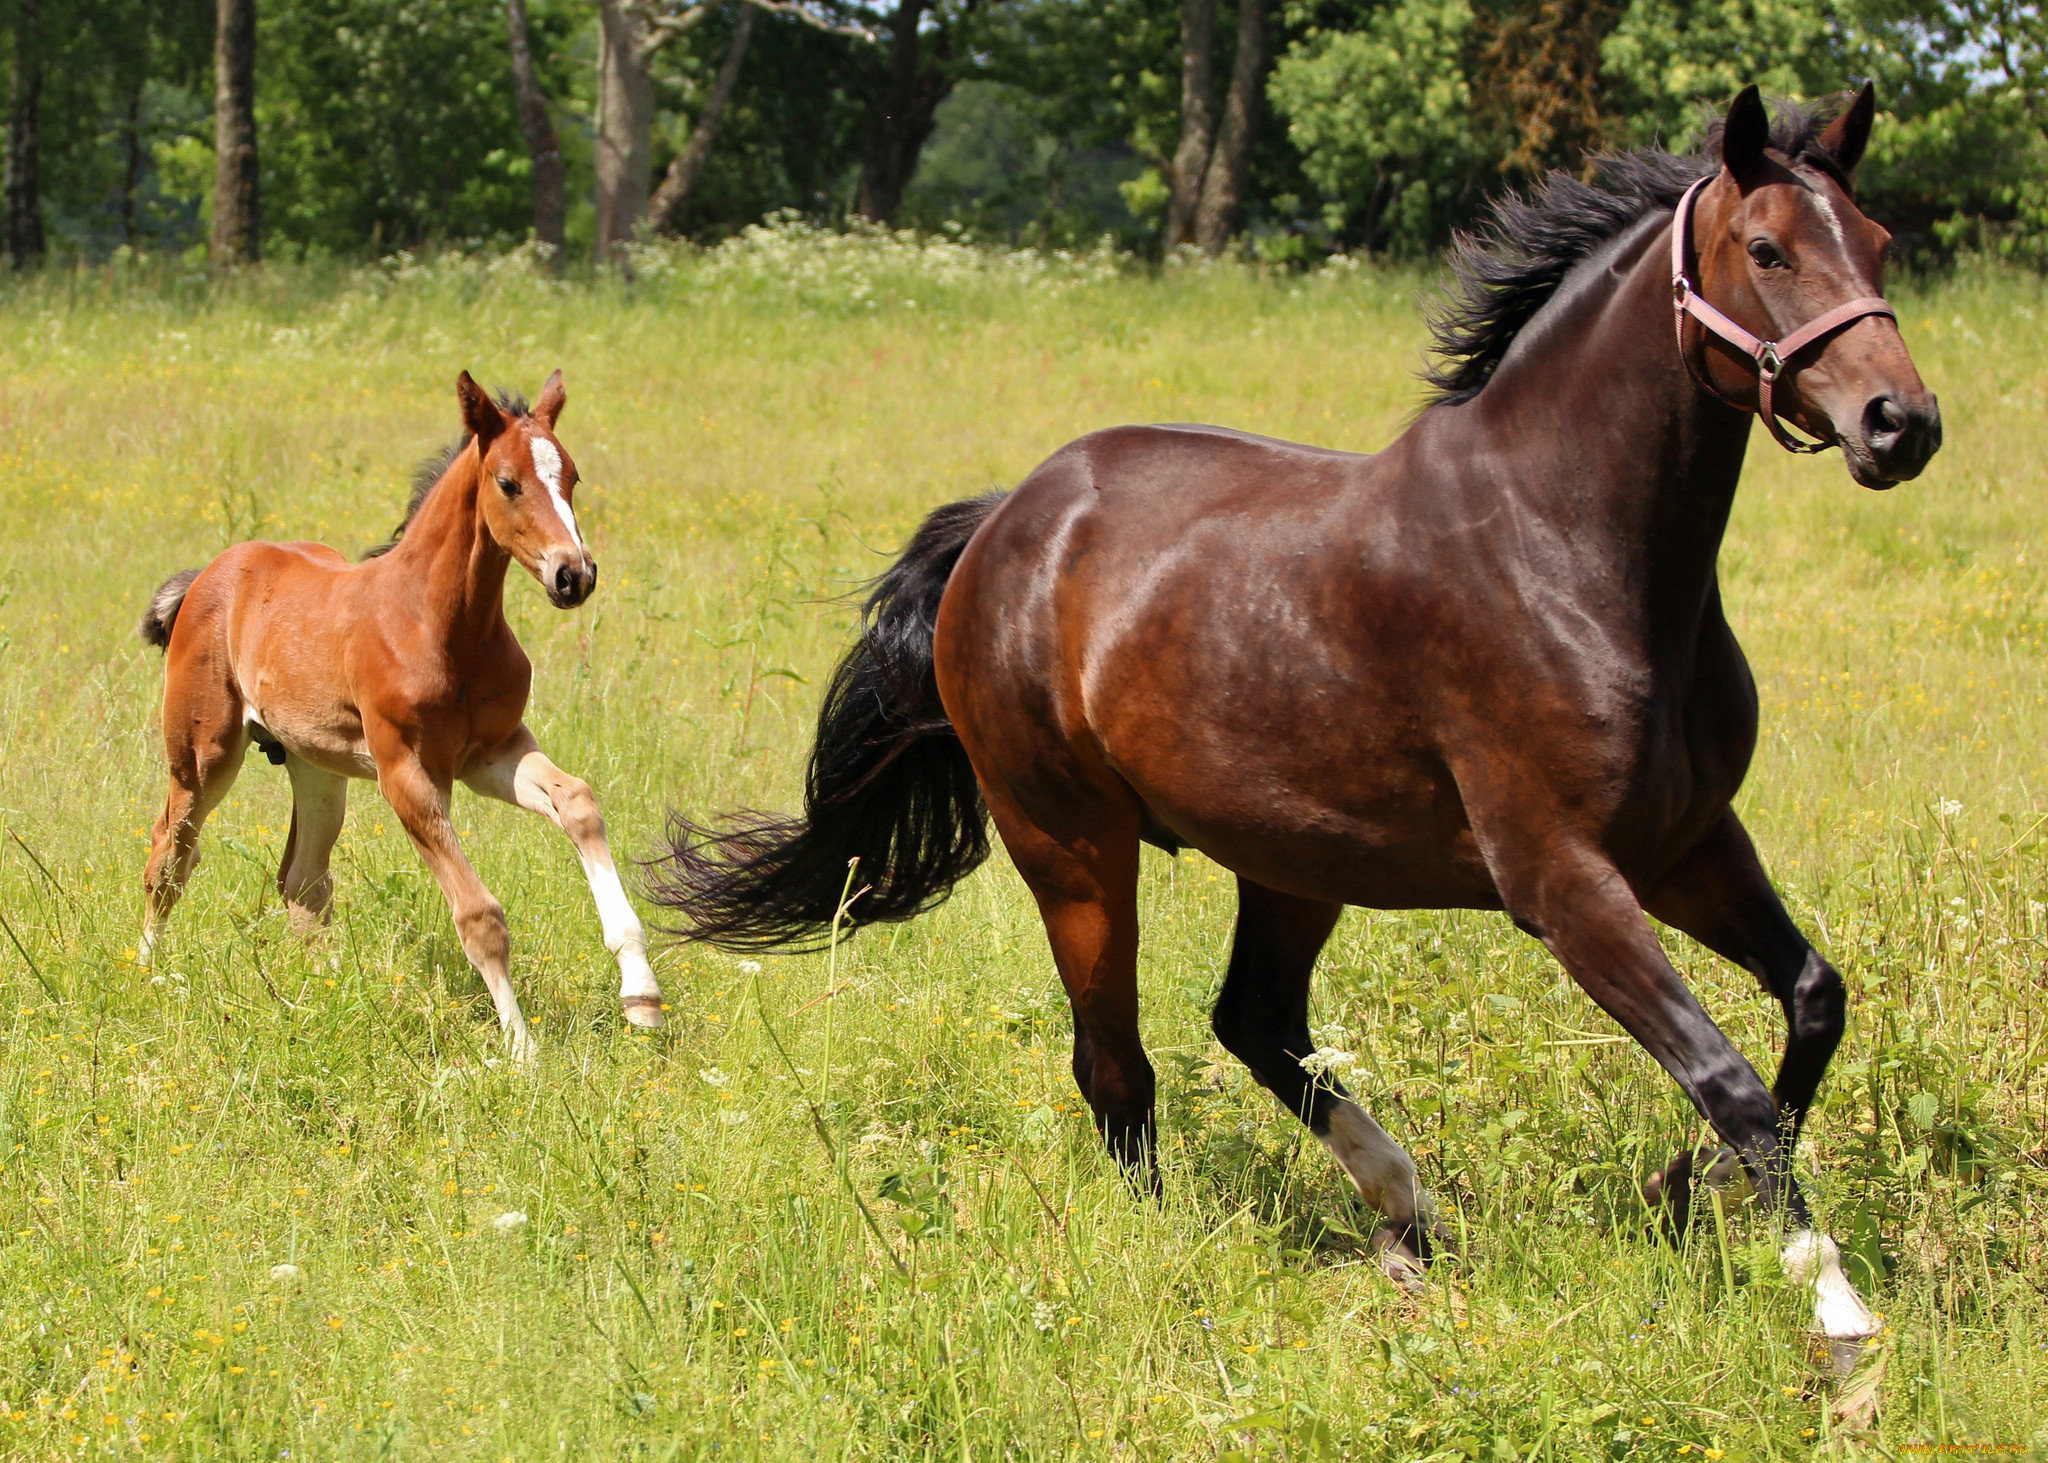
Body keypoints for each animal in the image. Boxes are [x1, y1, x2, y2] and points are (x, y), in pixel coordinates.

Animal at [138, 364, 663, 1049]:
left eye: (571, 477)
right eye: (508, 482)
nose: (574, 575)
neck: (441, 625)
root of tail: (210, 572)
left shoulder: (491, 753)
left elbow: (577, 802)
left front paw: (642, 998)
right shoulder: (407, 774)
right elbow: (480, 915)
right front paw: (523, 1048)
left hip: (315, 765)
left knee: (302, 879)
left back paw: (331, 994)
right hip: (202, 755)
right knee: (169, 855)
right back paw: (148, 976)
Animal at [651, 82, 1933, 1352]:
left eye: (1876, 242)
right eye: (1764, 249)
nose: (1898, 423)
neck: (1568, 548)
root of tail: (1005, 520)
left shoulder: (1685, 844)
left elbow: (1811, 1003)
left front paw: (1686, 1187)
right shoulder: (1562, 879)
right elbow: (1725, 1075)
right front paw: (1830, 1297)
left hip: (1294, 857)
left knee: (1252, 1018)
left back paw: (1405, 1210)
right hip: (1070, 844)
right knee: (1114, 1060)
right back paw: (1174, 1248)